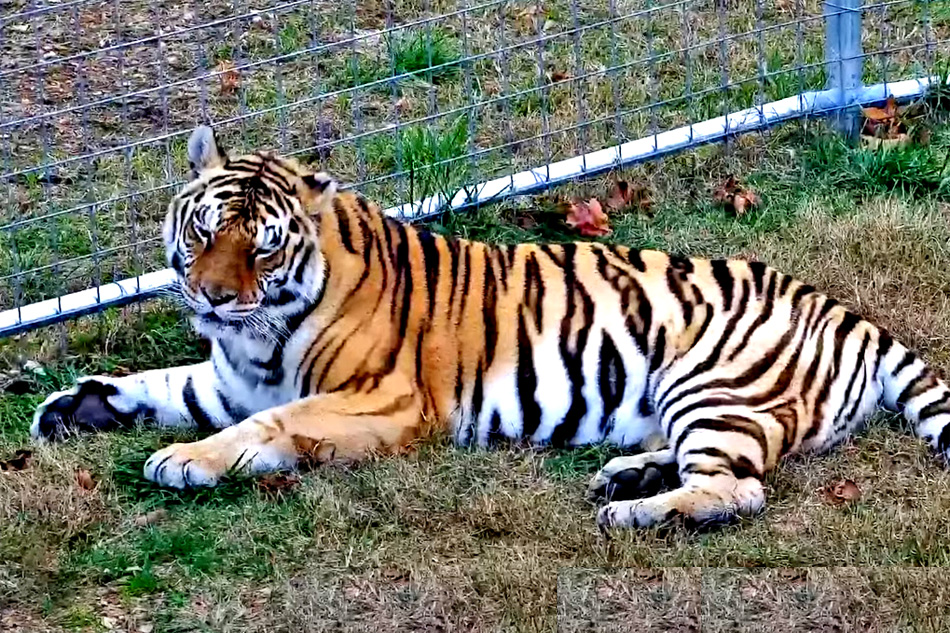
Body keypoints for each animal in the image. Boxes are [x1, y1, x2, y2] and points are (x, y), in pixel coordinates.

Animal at [29, 124, 950, 528]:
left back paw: (633, 513)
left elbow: (266, 426)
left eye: (261, 246)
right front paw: (74, 406)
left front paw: (184, 460)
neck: (258, 334)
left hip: (710, 381)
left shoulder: (386, 401)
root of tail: (845, 309)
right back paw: (624, 476)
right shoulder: (226, 373)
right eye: (203, 232)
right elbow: (162, 385)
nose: (214, 298)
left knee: (742, 487)